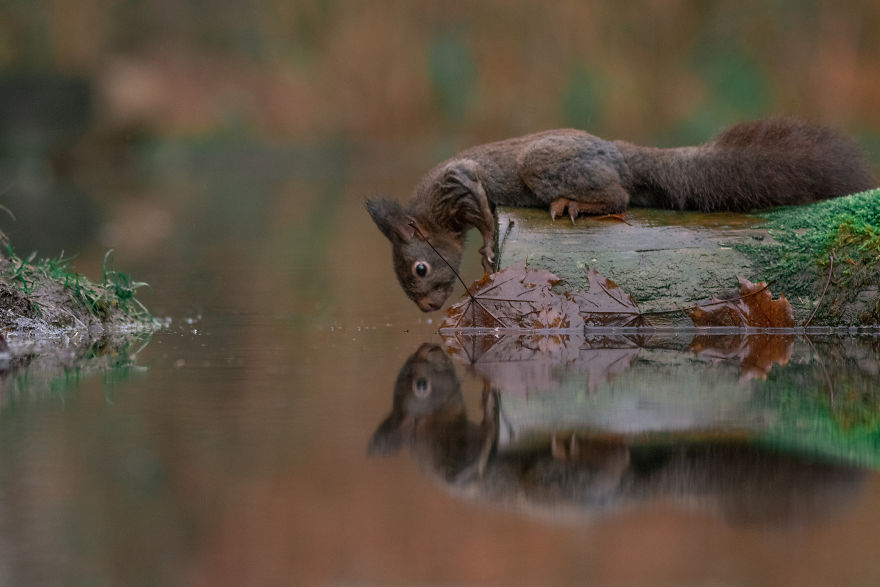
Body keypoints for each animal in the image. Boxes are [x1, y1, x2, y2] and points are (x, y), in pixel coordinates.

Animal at [366, 118, 875, 312]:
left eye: (420, 268)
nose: (428, 309)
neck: (433, 213)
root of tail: (617, 152)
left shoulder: (462, 183)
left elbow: (484, 215)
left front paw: (489, 247)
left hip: (544, 164)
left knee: (621, 195)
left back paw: (576, 203)